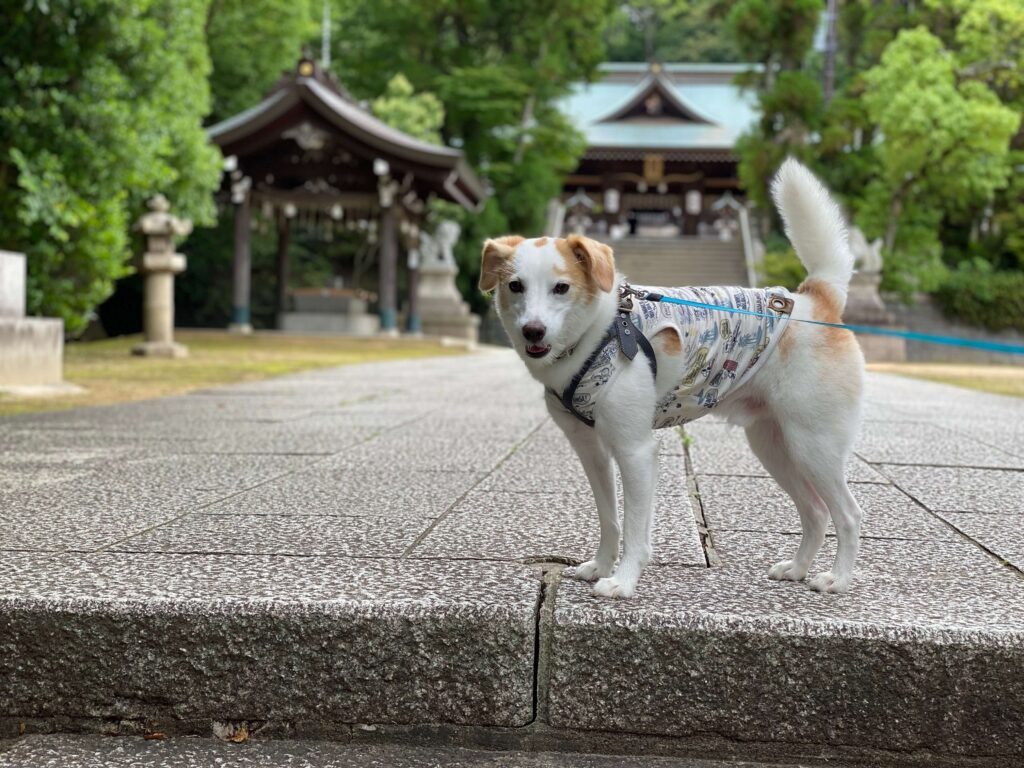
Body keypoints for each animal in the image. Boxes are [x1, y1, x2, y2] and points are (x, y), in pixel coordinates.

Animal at [479, 159, 864, 598]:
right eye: (515, 286)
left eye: (561, 287)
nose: (533, 331)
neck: (599, 331)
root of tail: (814, 298)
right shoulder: (591, 451)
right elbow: (610, 519)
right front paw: (600, 566)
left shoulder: (635, 450)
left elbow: (634, 527)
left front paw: (623, 581)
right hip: (776, 447)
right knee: (815, 511)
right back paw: (798, 569)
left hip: (814, 446)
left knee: (848, 514)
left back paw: (838, 578)